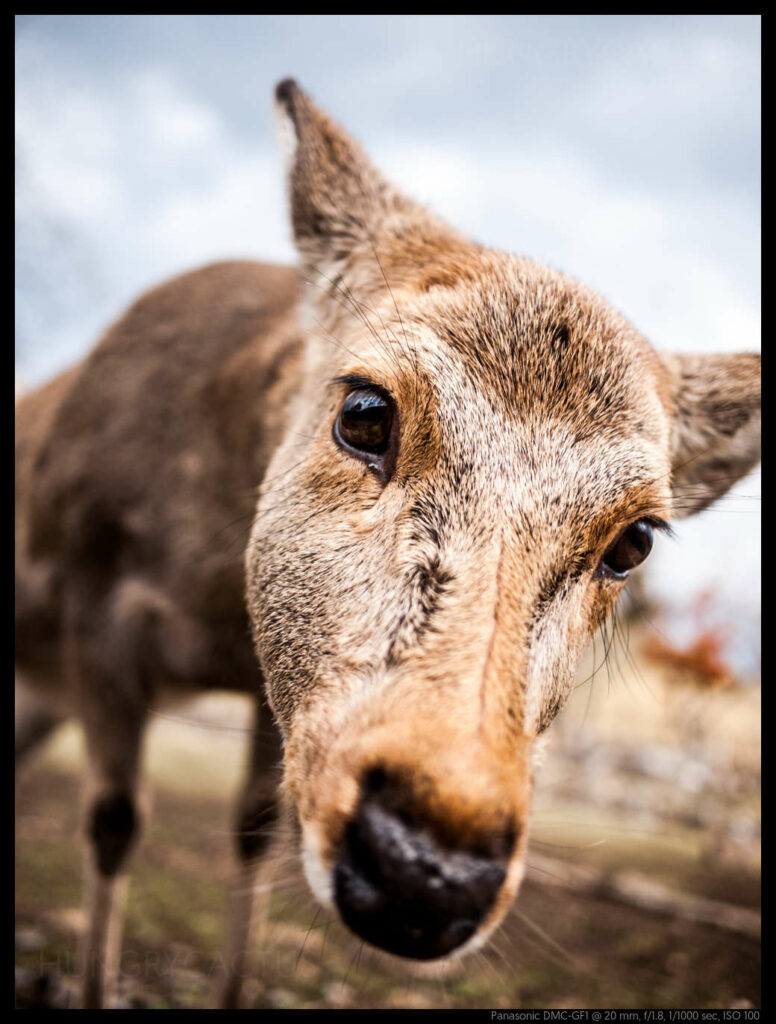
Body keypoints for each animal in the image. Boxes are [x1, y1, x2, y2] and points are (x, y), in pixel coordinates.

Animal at [15, 79, 761, 1007]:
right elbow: (114, 823)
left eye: (637, 539)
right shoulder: (95, 612)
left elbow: (254, 830)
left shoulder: (267, 694)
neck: (213, 603)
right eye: (365, 411)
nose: (426, 872)